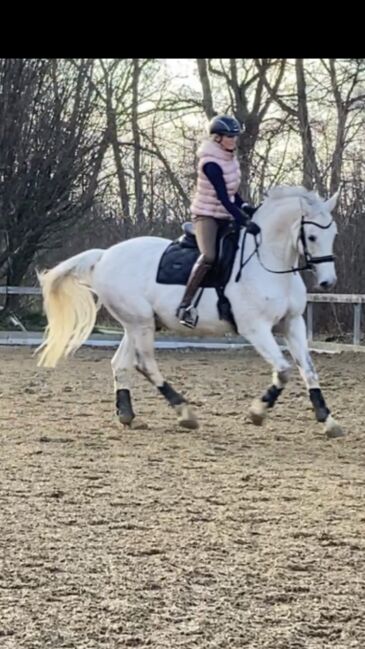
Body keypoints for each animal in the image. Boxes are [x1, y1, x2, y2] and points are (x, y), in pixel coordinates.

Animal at [35, 185, 342, 438]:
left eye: (333, 234)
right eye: (312, 236)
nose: (328, 282)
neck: (267, 262)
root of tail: (104, 255)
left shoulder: (293, 323)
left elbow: (308, 370)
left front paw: (327, 420)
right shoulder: (255, 328)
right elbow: (284, 369)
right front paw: (257, 412)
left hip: (137, 324)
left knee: (121, 363)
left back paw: (128, 415)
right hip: (141, 324)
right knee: (145, 364)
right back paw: (184, 412)